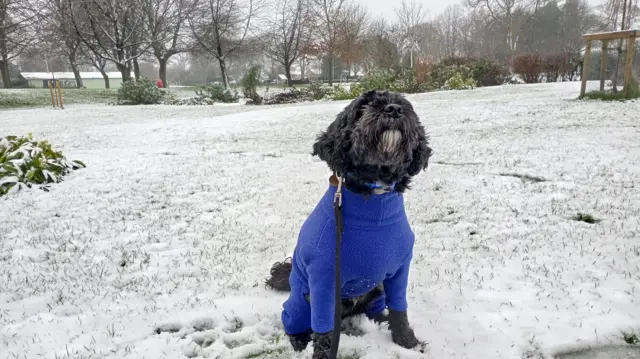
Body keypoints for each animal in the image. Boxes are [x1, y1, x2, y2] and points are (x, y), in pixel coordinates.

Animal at [264, 90, 430, 359]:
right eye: (364, 107)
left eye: (403, 105)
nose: (394, 110)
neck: (375, 195)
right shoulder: (323, 280)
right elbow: (323, 332)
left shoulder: (399, 270)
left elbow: (400, 310)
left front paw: (408, 343)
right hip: (302, 300)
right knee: (292, 320)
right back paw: (299, 341)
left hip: (375, 291)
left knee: (376, 311)